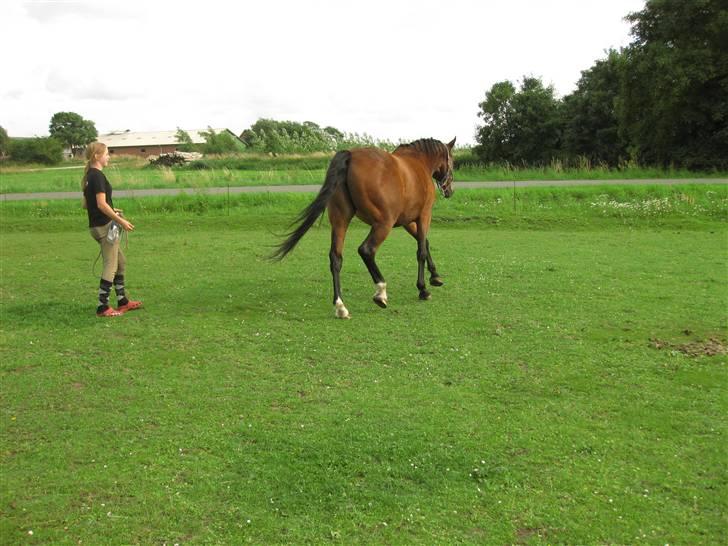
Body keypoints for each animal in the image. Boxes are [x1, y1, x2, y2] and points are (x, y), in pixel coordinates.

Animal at [271, 137, 456, 319]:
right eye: (452, 163)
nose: (449, 191)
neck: (419, 162)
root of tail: (351, 155)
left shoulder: (406, 221)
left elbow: (425, 242)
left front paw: (435, 277)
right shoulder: (424, 215)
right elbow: (421, 250)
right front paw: (423, 289)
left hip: (340, 220)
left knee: (336, 257)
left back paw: (340, 306)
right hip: (383, 224)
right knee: (366, 250)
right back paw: (380, 291)